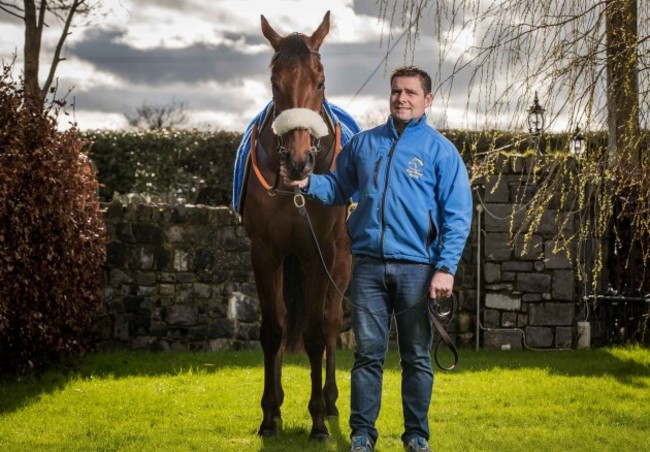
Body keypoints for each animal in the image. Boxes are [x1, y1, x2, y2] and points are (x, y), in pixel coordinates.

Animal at [234, 11, 352, 442]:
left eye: (320, 81)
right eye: (274, 82)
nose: (300, 161)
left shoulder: (320, 252)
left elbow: (317, 334)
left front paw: (317, 421)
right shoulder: (264, 252)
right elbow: (273, 330)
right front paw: (270, 415)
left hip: (342, 261)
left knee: (332, 323)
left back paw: (331, 404)